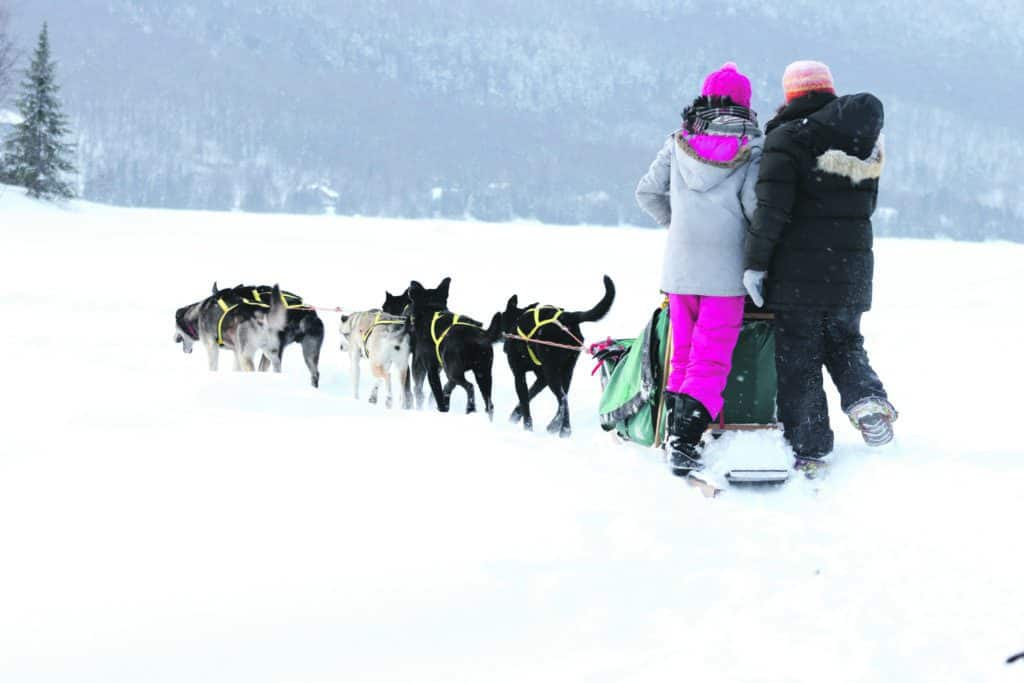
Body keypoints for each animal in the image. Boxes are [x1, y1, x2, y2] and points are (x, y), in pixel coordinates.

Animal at [403, 278, 499, 417]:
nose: (410, 285)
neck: (432, 310)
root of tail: (478, 336)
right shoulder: (442, 367)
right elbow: (447, 387)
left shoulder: (431, 369)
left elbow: (438, 394)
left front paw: (442, 407)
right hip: (483, 373)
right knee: (489, 403)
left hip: (456, 371)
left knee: (470, 386)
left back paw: (470, 407)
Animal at [499, 276, 610, 438]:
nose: (504, 344)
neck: (517, 321)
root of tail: (567, 317)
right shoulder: (541, 378)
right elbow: (530, 394)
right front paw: (515, 416)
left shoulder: (520, 375)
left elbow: (525, 401)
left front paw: (527, 428)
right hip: (566, 370)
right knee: (564, 397)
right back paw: (557, 426)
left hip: (551, 371)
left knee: (562, 399)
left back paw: (562, 429)